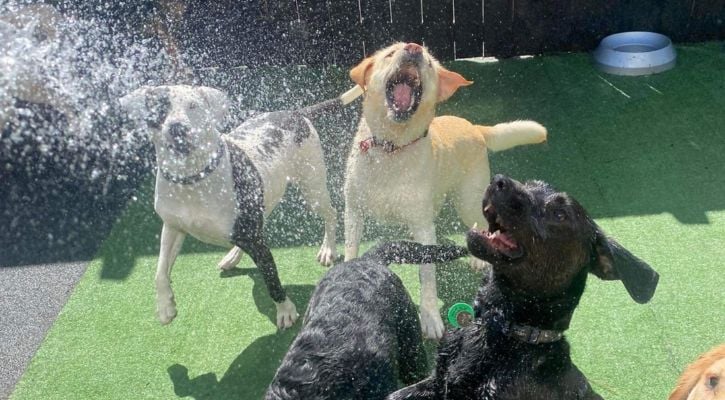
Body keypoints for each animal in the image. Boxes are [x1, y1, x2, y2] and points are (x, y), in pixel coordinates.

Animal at [121, 83, 364, 328]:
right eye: (159, 108)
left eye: (193, 106)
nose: (177, 127)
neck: (192, 178)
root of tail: (296, 113)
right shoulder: (173, 227)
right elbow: (160, 270)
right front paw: (165, 306)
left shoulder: (256, 243)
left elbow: (272, 280)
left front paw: (285, 310)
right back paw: (232, 256)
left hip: (312, 189)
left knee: (330, 213)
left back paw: (328, 249)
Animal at [388, 177, 660, 398]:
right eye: (530, 183)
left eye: (559, 214)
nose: (498, 181)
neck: (501, 327)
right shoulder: (436, 380)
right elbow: (395, 394)